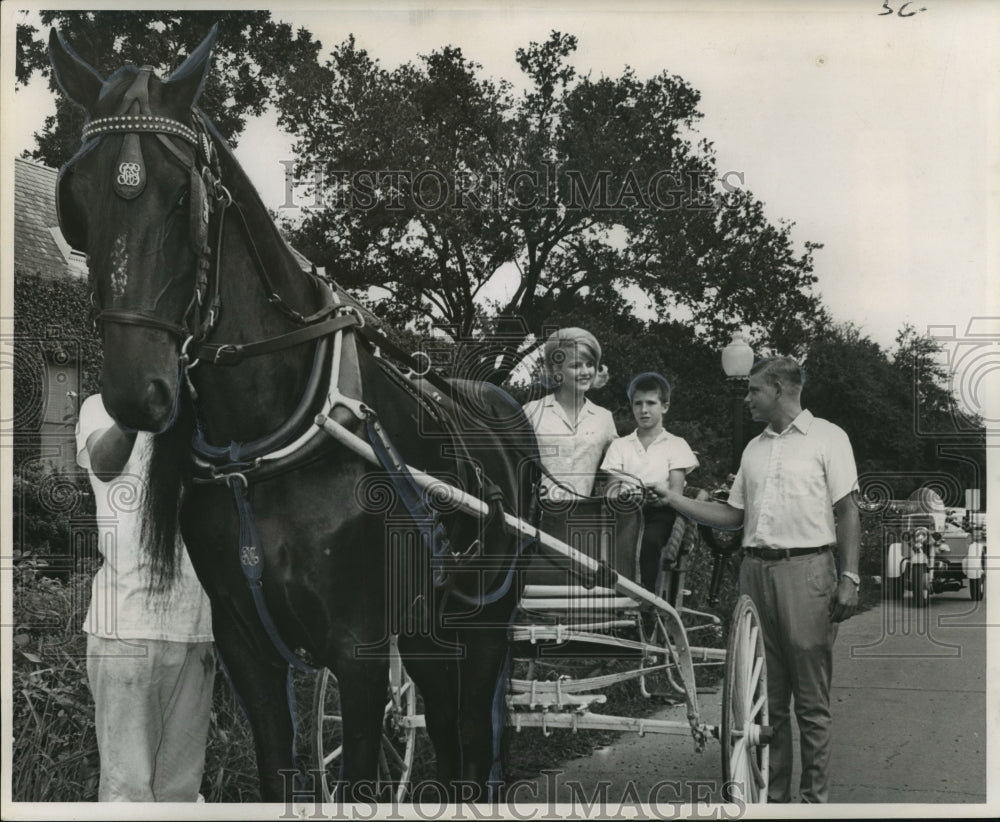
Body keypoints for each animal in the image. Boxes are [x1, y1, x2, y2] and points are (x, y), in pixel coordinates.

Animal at [50, 27, 544, 804]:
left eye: (184, 194)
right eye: (76, 197)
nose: (136, 393)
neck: (271, 445)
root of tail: (502, 412)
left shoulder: (360, 648)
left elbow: (365, 776)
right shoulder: (248, 650)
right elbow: (276, 770)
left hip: (488, 617)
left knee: (469, 734)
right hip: (432, 628)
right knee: (446, 722)